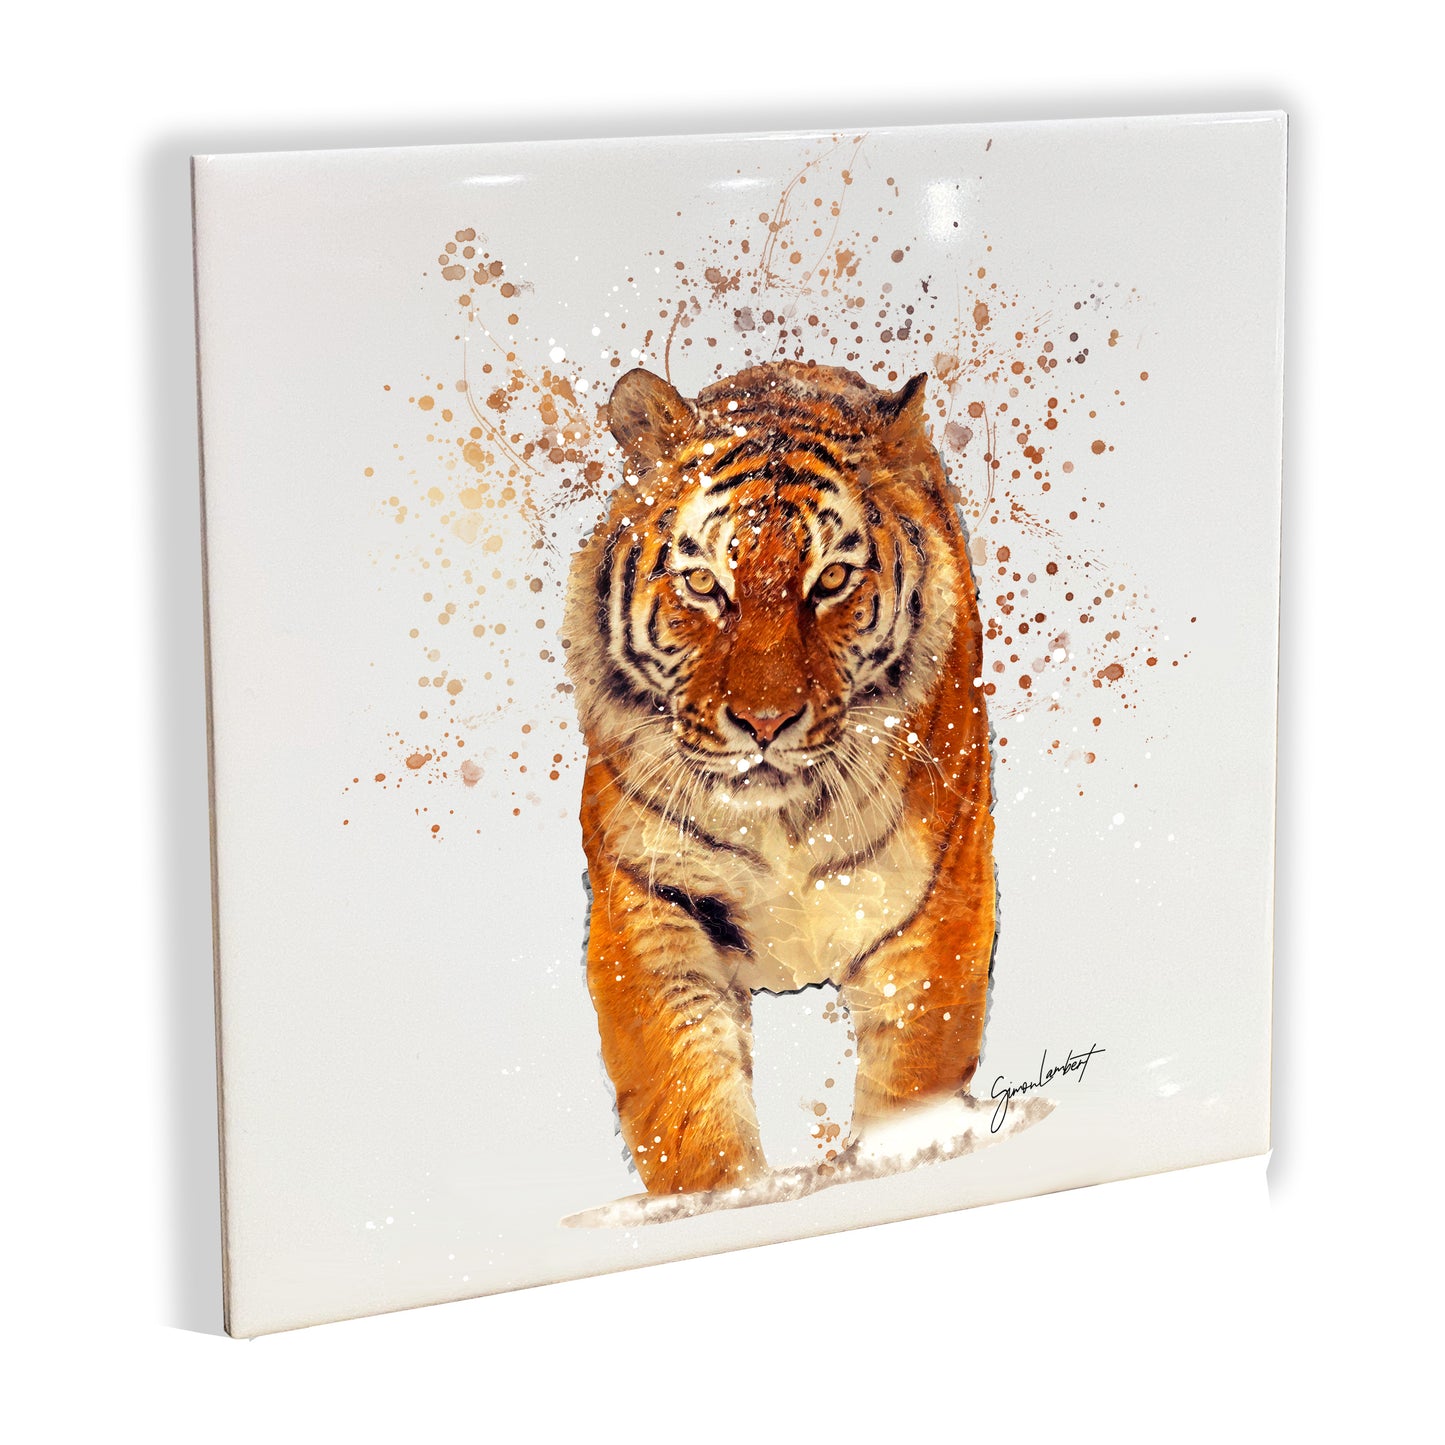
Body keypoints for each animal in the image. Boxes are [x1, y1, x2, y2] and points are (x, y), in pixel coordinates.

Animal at [561, 360, 996, 1196]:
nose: (764, 723)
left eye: (830, 580)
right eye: (704, 584)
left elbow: (912, 1086)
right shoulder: (647, 900)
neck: (782, 823)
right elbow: (684, 1109)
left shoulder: (936, 902)